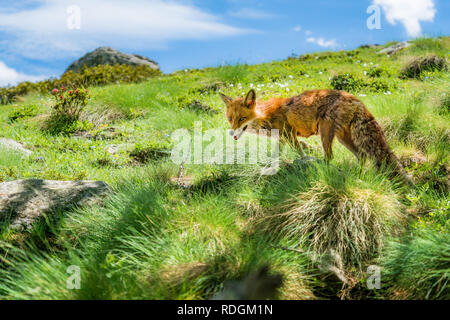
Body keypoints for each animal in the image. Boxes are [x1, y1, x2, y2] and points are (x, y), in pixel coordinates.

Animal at [220, 89, 414, 184]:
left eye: (241, 119)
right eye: (230, 119)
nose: (231, 132)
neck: (266, 115)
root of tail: (355, 98)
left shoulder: (290, 135)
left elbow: (299, 153)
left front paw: (300, 161)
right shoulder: (282, 139)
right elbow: (276, 156)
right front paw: (270, 168)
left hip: (325, 133)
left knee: (330, 157)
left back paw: (322, 169)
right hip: (343, 138)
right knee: (362, 155)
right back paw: (358, 176)